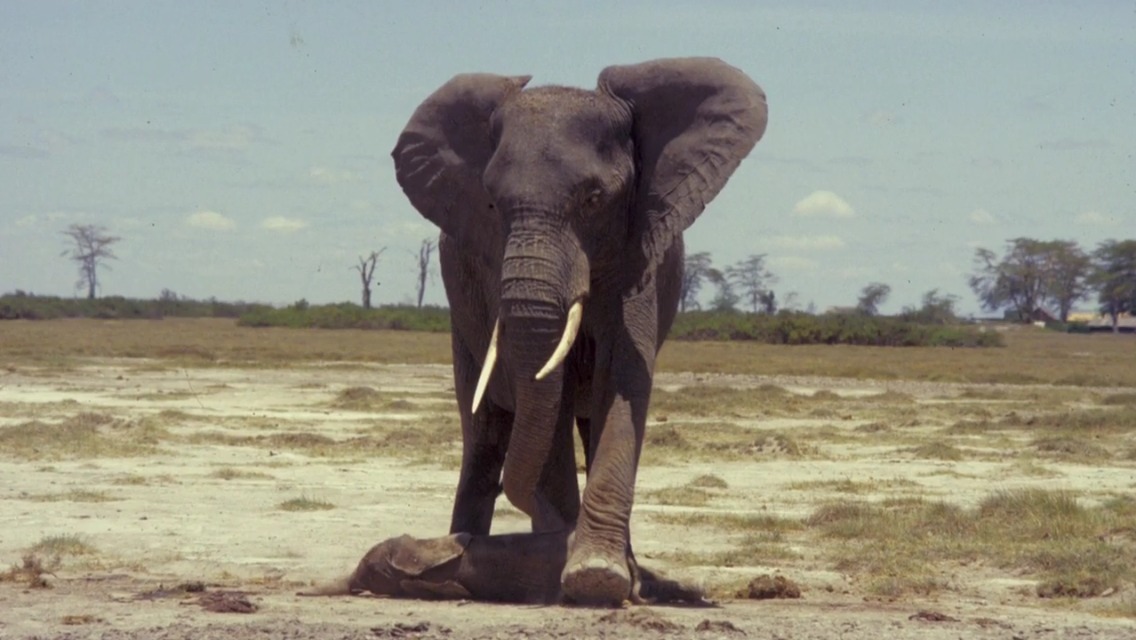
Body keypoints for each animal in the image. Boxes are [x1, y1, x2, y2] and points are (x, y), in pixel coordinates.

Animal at [386, 56, 767, 604]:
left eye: (593, 199)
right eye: (492, 203)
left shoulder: (638, 249)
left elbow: (622, 382)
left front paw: (598, 575)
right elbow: (549, 398)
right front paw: (562, 564)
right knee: (483, 434)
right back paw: (462, 547)